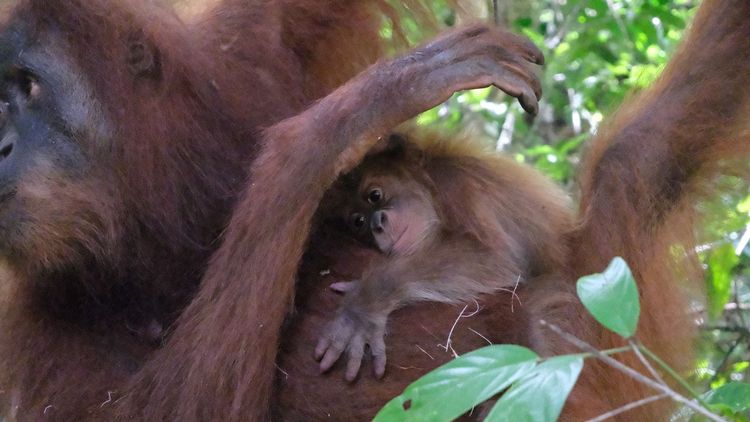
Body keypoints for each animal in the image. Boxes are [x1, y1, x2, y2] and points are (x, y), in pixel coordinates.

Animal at [314, 133, 572, 381]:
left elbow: (495, 257)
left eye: (374, 195)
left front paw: (363, 304)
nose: (377, 224)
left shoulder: (458, 186)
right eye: (359, 222)